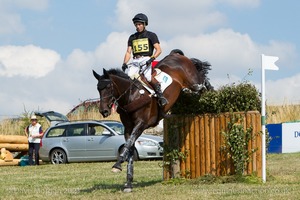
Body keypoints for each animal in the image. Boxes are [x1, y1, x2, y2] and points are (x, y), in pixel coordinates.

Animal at [92, 53, 207, 192]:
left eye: (109, 87)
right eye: (98, 89)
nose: (104, 111)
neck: (131, 96)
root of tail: (176, 54)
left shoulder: (141, 124)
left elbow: (128, 145)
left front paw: (117, 164)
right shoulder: (128, 129)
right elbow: (130, 148)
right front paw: (128, 183)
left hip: (192, 80)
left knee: (202, 84)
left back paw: (205, 89)